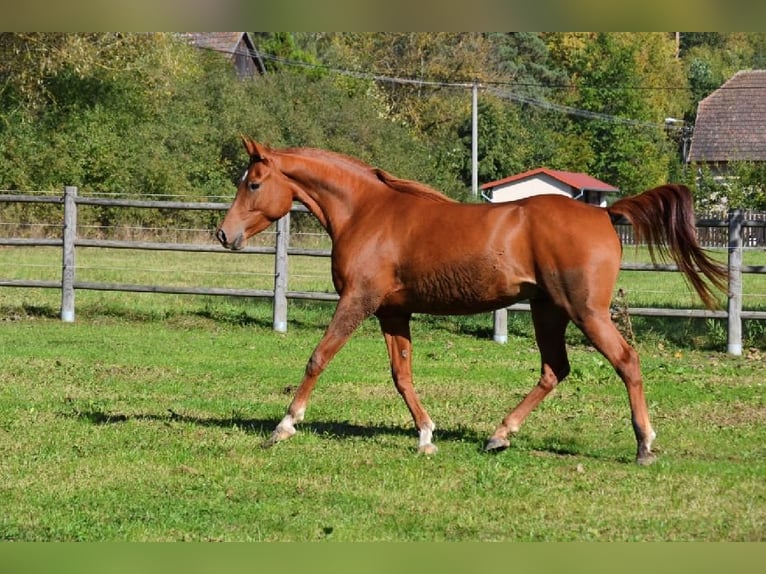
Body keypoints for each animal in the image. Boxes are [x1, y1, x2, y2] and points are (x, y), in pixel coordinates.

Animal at [218, 137, 732, 466]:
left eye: (254, 184)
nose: (225, 235)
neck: (366, 213)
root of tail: (604, 214)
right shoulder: (392, 311)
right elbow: (401, 375)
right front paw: (426, 436)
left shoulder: (357, 302)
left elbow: (318, 357)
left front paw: (285, 425)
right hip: (548, 310)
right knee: (554, 370)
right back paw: (499, 435)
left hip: (585, 311)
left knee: (626, 360)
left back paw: (644, 445)